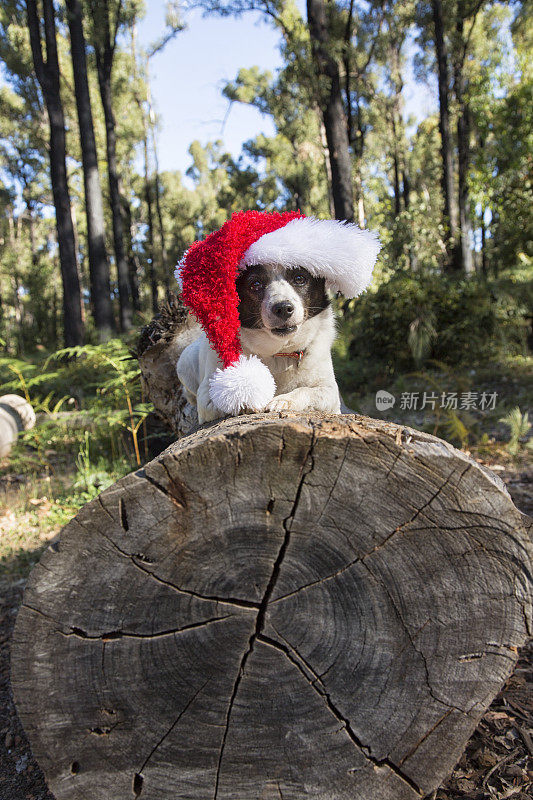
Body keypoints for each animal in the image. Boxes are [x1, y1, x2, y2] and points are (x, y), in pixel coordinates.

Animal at [177, 262, 338, 424]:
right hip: (184, 362)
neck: (278, 352)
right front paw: (248, 398)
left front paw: (283, 400)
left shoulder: (330, 392)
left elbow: (306, 390)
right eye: (255, 284)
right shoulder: (207, 395)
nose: (283, 308)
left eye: (299, 278)